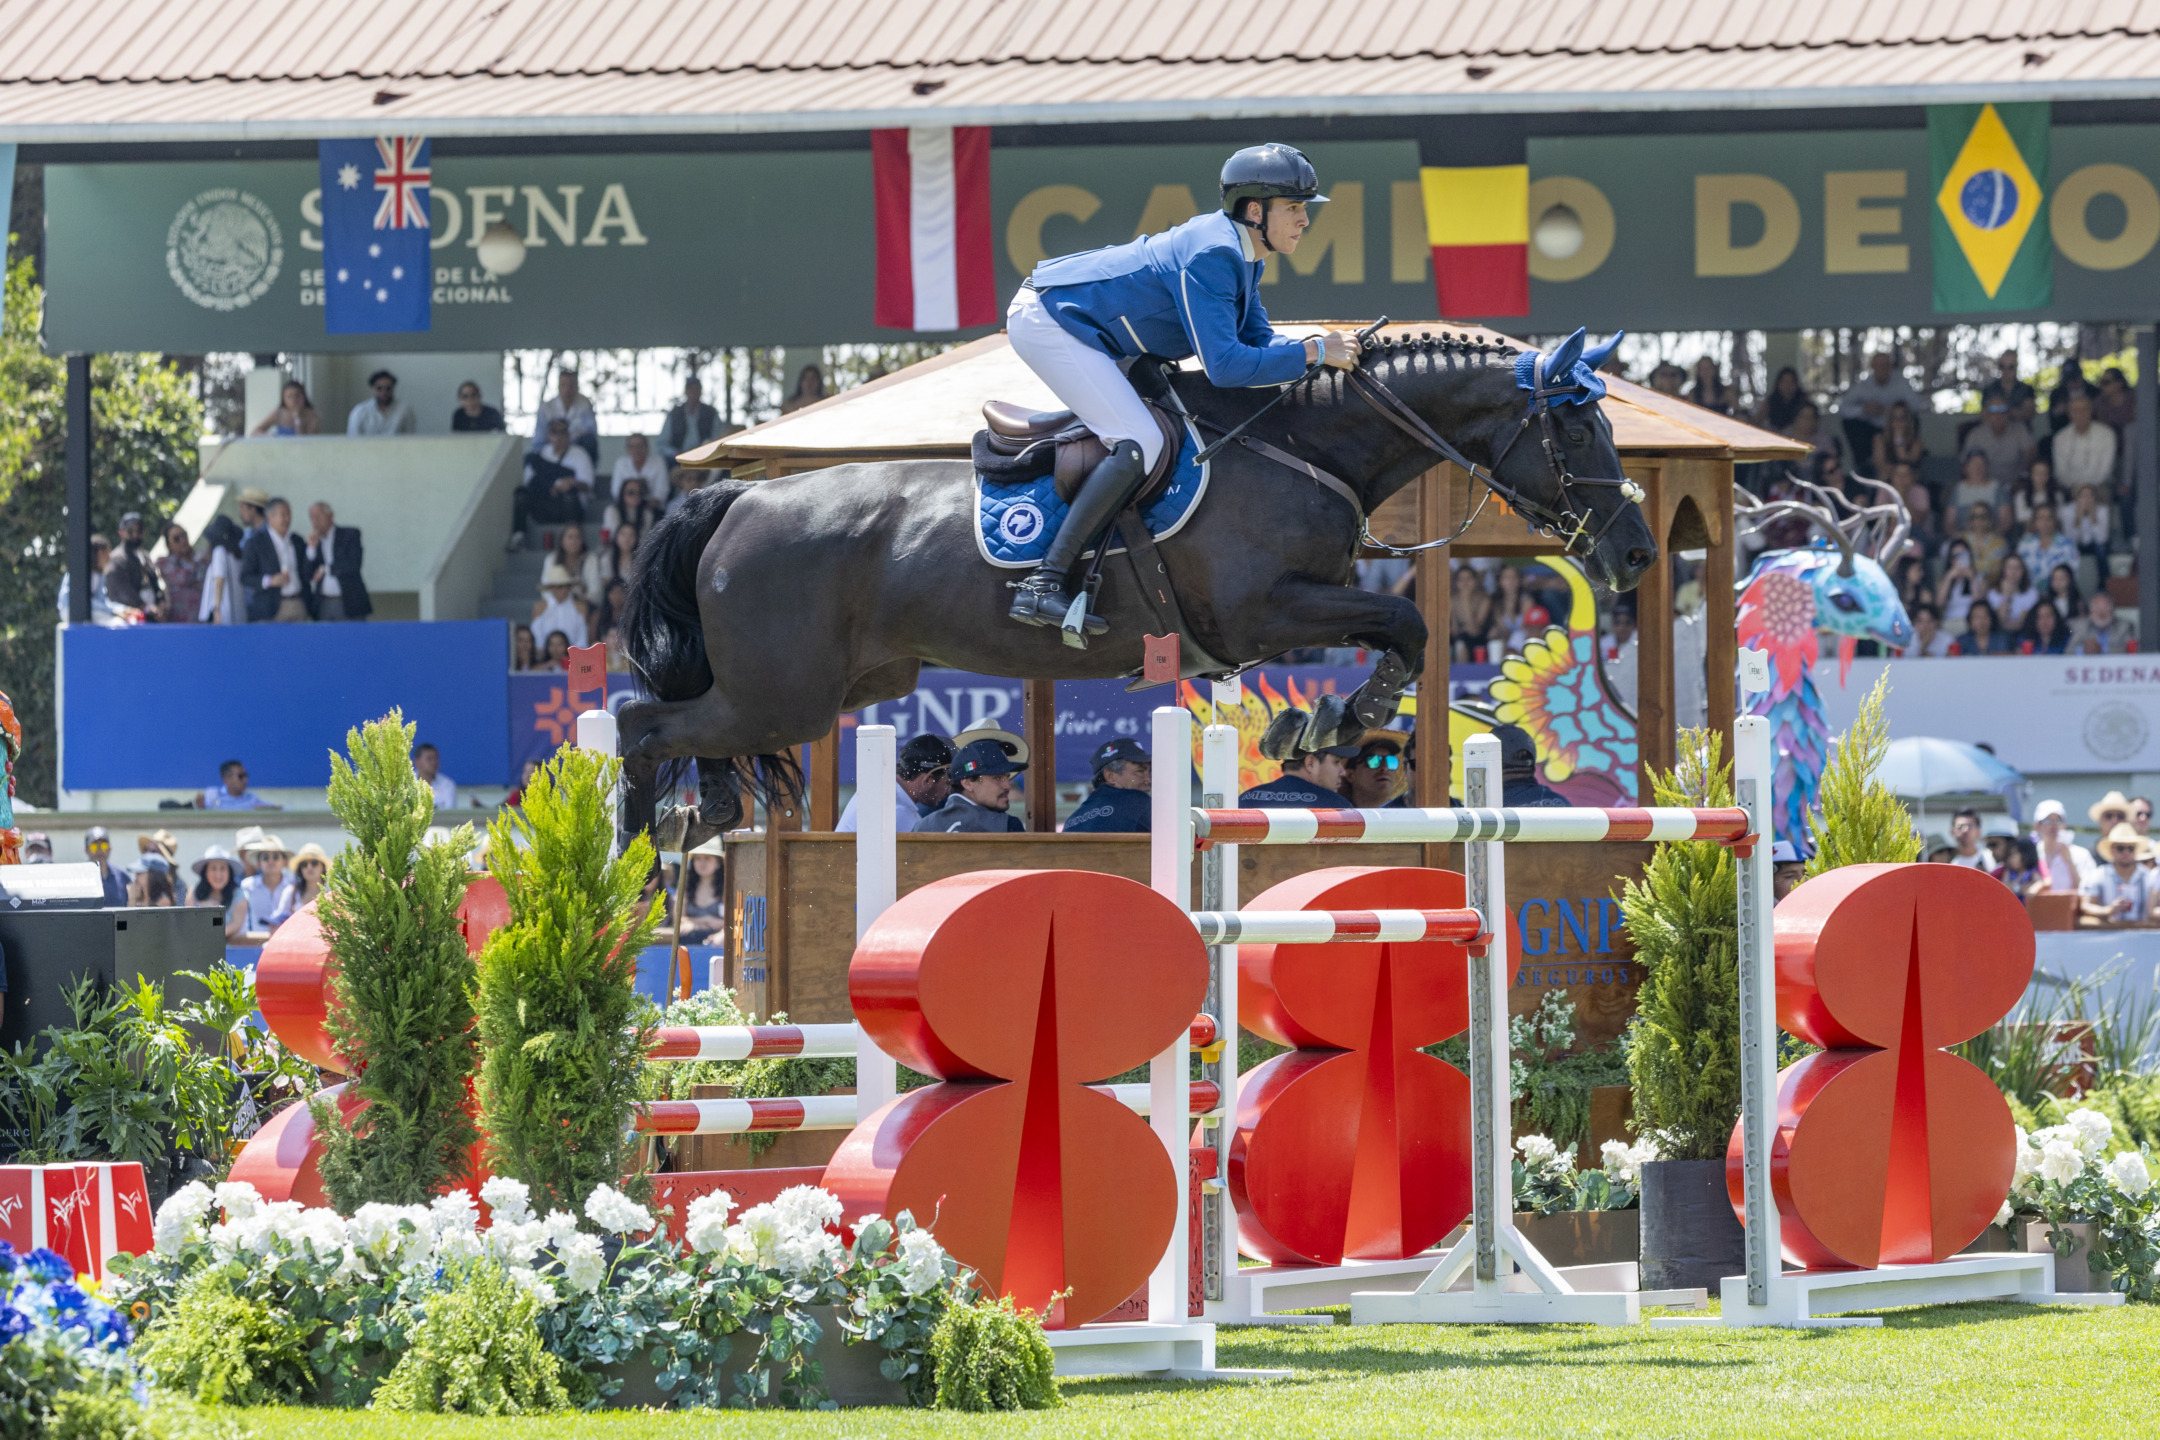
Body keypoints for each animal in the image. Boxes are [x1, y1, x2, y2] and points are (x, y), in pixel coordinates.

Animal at [617, 330, 1658, 837]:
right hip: (783, 694)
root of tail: (741, 500)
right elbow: (1403, 620)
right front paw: (1351, 714)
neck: (1302, 446)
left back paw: (702, 817)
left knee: (681, 729)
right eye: (1575, 430)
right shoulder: (1258, 610)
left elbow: (1390, 631)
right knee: (641, 723)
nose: (1640, 554)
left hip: (842, 685)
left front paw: (1328, 718)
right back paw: (636, 855)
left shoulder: (1287, 611)